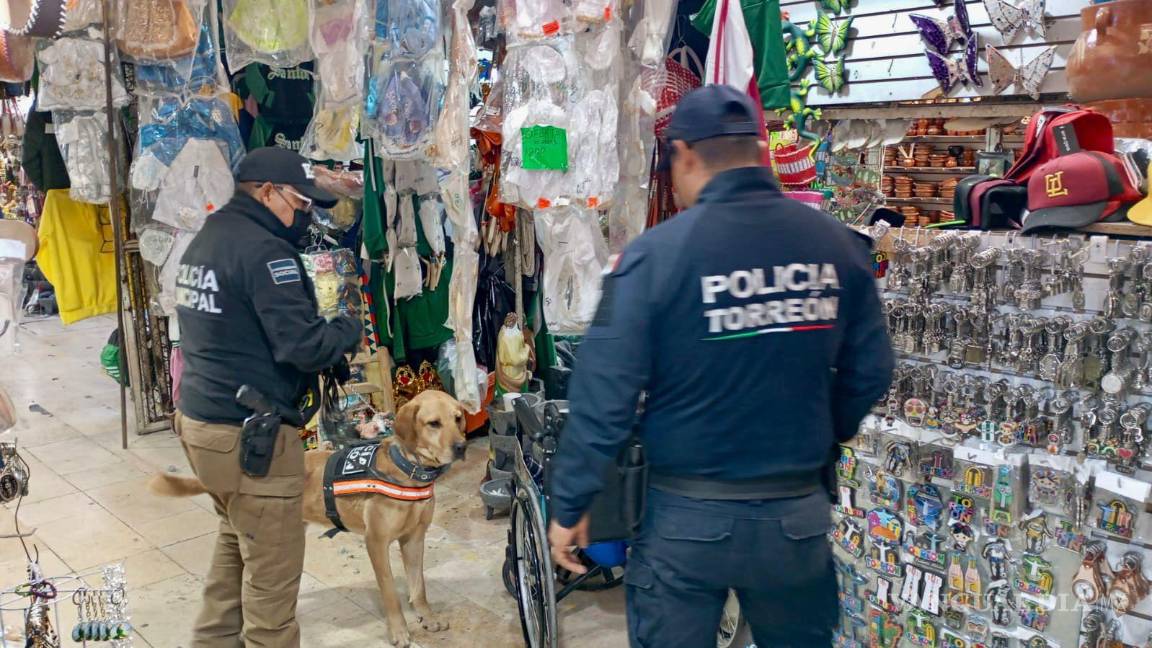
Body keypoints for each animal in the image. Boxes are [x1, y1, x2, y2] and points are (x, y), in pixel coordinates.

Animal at [153, 387, 467, 645]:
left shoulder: (413, 539)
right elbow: (390, 593)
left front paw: (427, 617)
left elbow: (419, 586)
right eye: (433, 423)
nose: (462, 447)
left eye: (458, 419)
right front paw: (399, 631)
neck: (408, 469)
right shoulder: (376, 543)